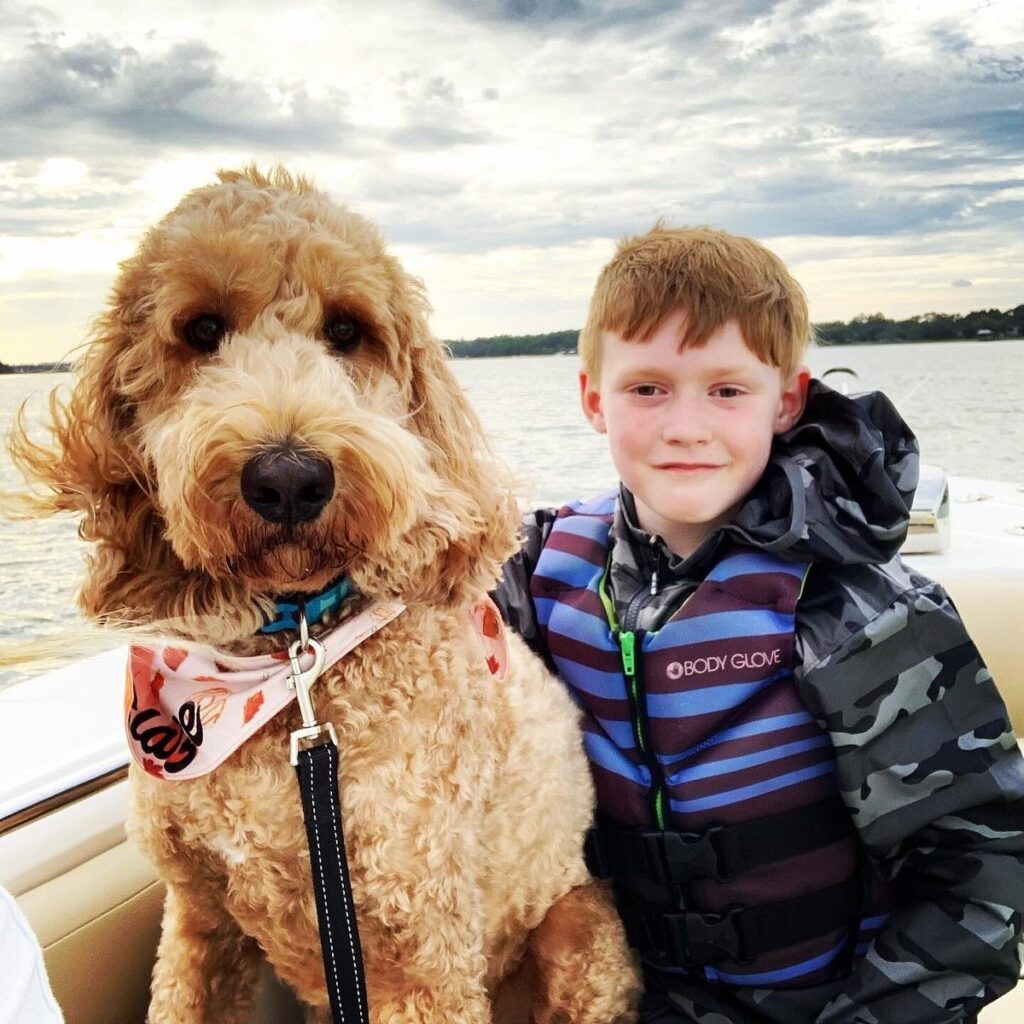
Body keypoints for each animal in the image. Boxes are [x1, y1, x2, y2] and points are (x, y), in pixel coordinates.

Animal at [9, 167, 638, 1024]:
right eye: (201, 328)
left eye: (347, 330)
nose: (288, 478)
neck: (289, 657)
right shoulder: (198, 917)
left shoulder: (424, 955)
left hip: (582, 933)